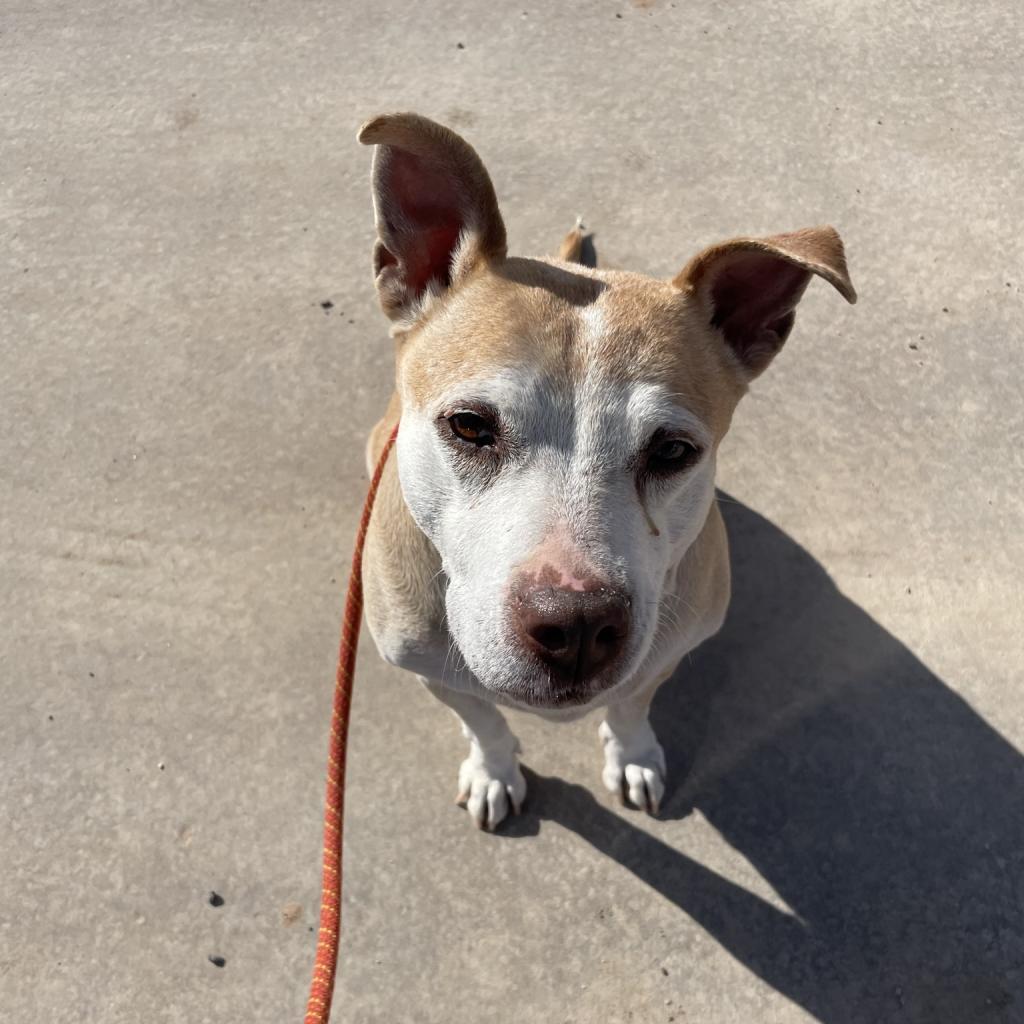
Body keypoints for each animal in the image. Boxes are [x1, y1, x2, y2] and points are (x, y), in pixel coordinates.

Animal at [356, 114, 851, 831]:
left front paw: (633, 756)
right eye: (470, 425)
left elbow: (629, 706)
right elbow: (483, 721)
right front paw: (494, 770)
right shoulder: (429, 671)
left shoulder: (663, 655)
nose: (578, 628)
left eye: (672, 451)